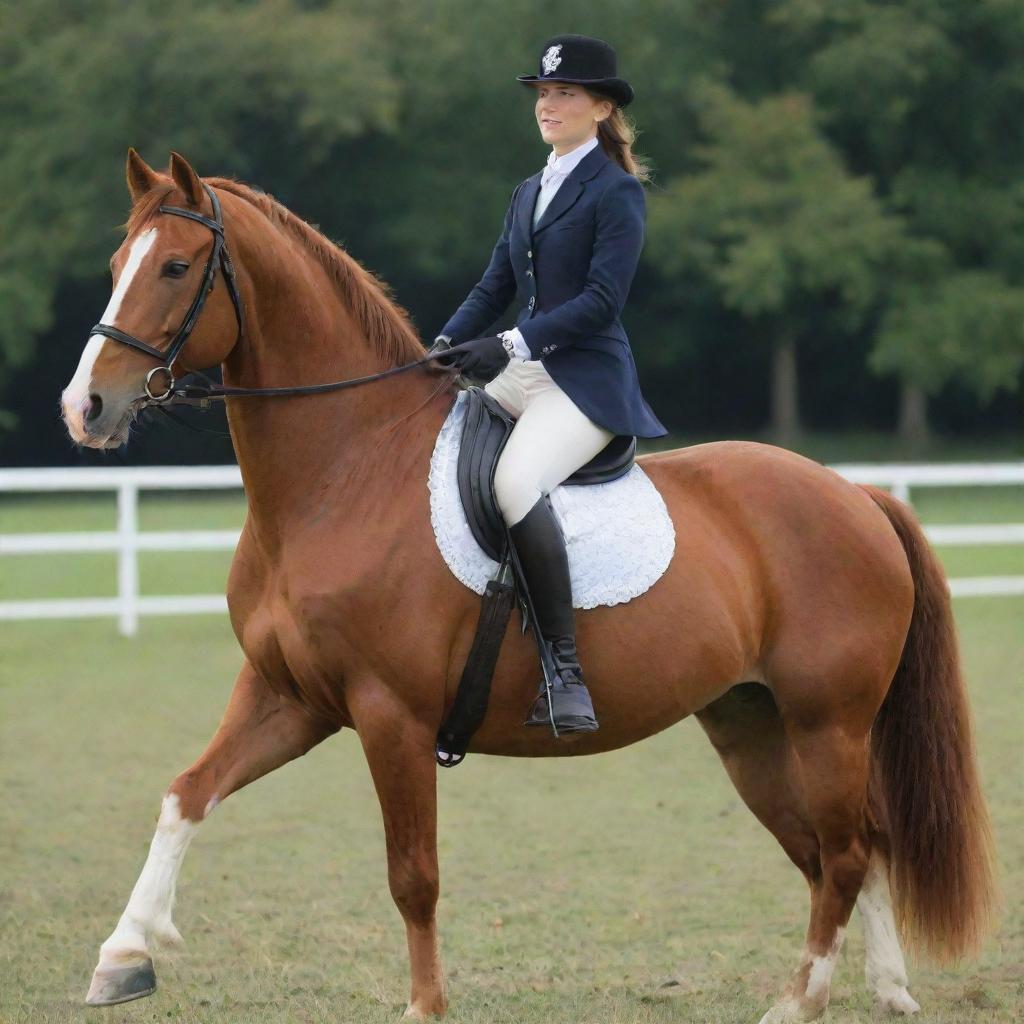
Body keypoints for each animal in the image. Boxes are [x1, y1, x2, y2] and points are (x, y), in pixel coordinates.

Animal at [61, 148, 991, 1019]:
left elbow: (413, 873)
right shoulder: (289, 696)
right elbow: (186, 795)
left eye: (175, 266)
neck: (343, 473)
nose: (86, 408)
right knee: (843, 849)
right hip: (752, 726)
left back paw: (801, 999)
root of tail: (855, 495)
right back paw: (887, 989)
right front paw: (121, 957)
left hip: (828, 724)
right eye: (116, 265)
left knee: (846, 852)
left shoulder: (390, 714)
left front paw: (425, 1004)